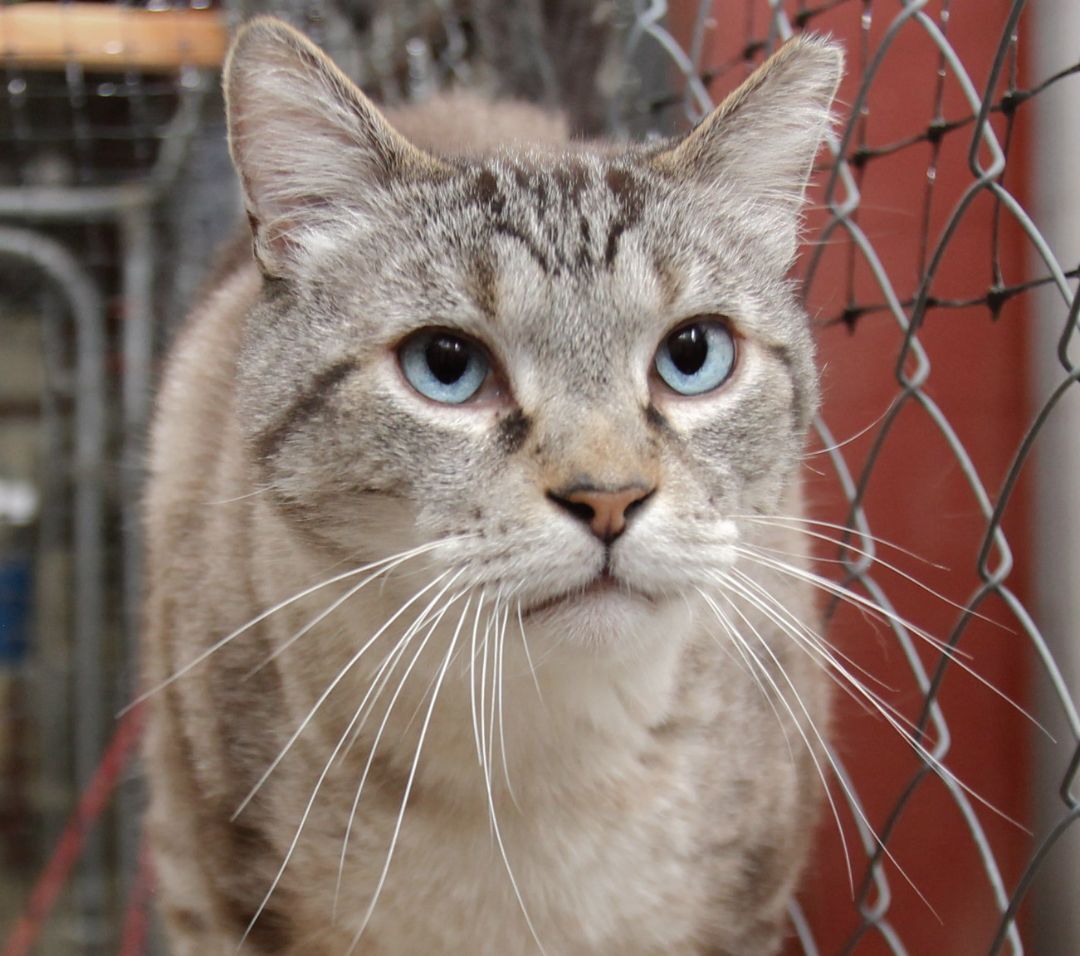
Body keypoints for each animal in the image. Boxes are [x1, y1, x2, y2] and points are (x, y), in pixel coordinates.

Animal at [141, 16, 842, 954]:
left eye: (693, 356)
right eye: (447, 366)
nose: (609, 498)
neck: (539, 763)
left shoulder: (745, 913)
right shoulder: (212, 897)